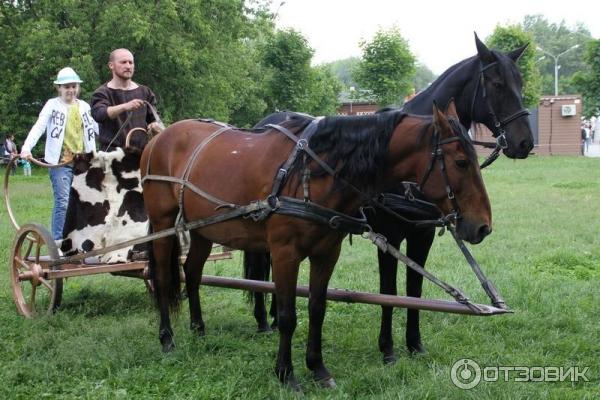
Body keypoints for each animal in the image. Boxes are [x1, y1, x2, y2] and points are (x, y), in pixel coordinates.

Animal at [142, 101, 492, 390]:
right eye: (461, 162)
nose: (483, 226)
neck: (313, 171)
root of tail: (159, 138)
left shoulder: (326, 254)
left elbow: (317, 308)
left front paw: (318, 368)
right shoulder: (285, 253)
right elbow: (287, 316)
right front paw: (286, 373)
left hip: (203, 229)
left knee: (192, 272)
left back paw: (198, 329)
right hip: (163, 224)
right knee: (163, 277)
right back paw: (166, 339)